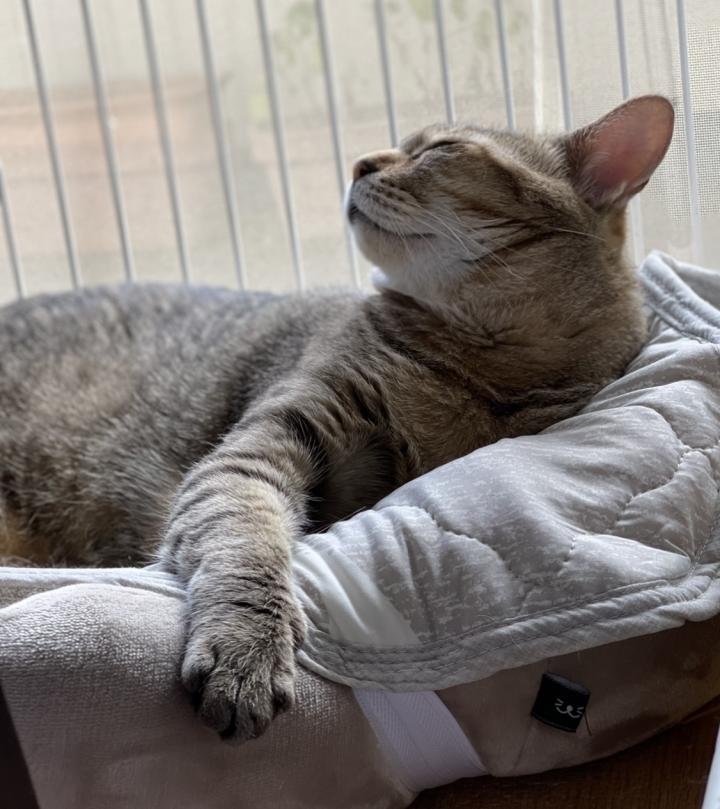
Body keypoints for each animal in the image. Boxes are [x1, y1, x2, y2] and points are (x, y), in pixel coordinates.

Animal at [0, 95, 673, 742]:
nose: (359, 163)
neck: (476, 371)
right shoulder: (262, 445)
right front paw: (248, 649)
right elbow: (246, 542)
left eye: (441, 149)